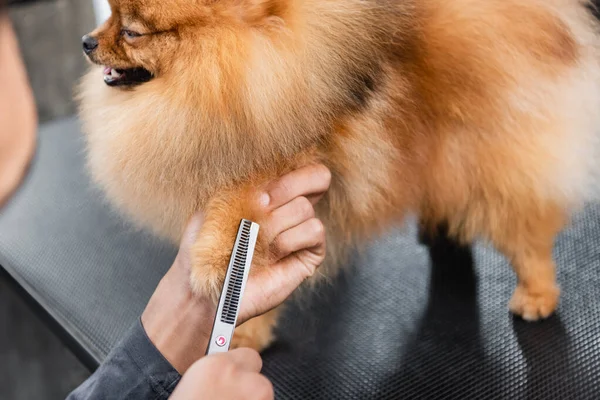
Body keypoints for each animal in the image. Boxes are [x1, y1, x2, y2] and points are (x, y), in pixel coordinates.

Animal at [77, 0, 600, 350]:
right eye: (109, 13)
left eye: (132, 32)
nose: (86, 41)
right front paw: (246, 332)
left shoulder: (285, 162)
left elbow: (241, 204)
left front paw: (216, 260)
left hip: (489, 166)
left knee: (526, 236)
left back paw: (536, 295)